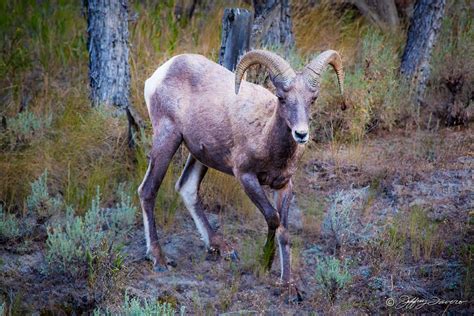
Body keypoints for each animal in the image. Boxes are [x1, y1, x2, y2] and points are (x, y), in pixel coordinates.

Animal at [138, 48, 344, 292]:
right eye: (281, 98)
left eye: (313, 99)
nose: (301, 134)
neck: (265, 136)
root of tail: (163, 71)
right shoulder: (246, 177)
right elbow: (272, 218)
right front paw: (265, 264)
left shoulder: (284, 186)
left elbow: (284, 231)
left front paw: (288, 285)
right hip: (168, 138)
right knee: (148, 191)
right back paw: (159, 259)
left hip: (200, 154)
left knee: (187, 188)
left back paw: (223, 248)